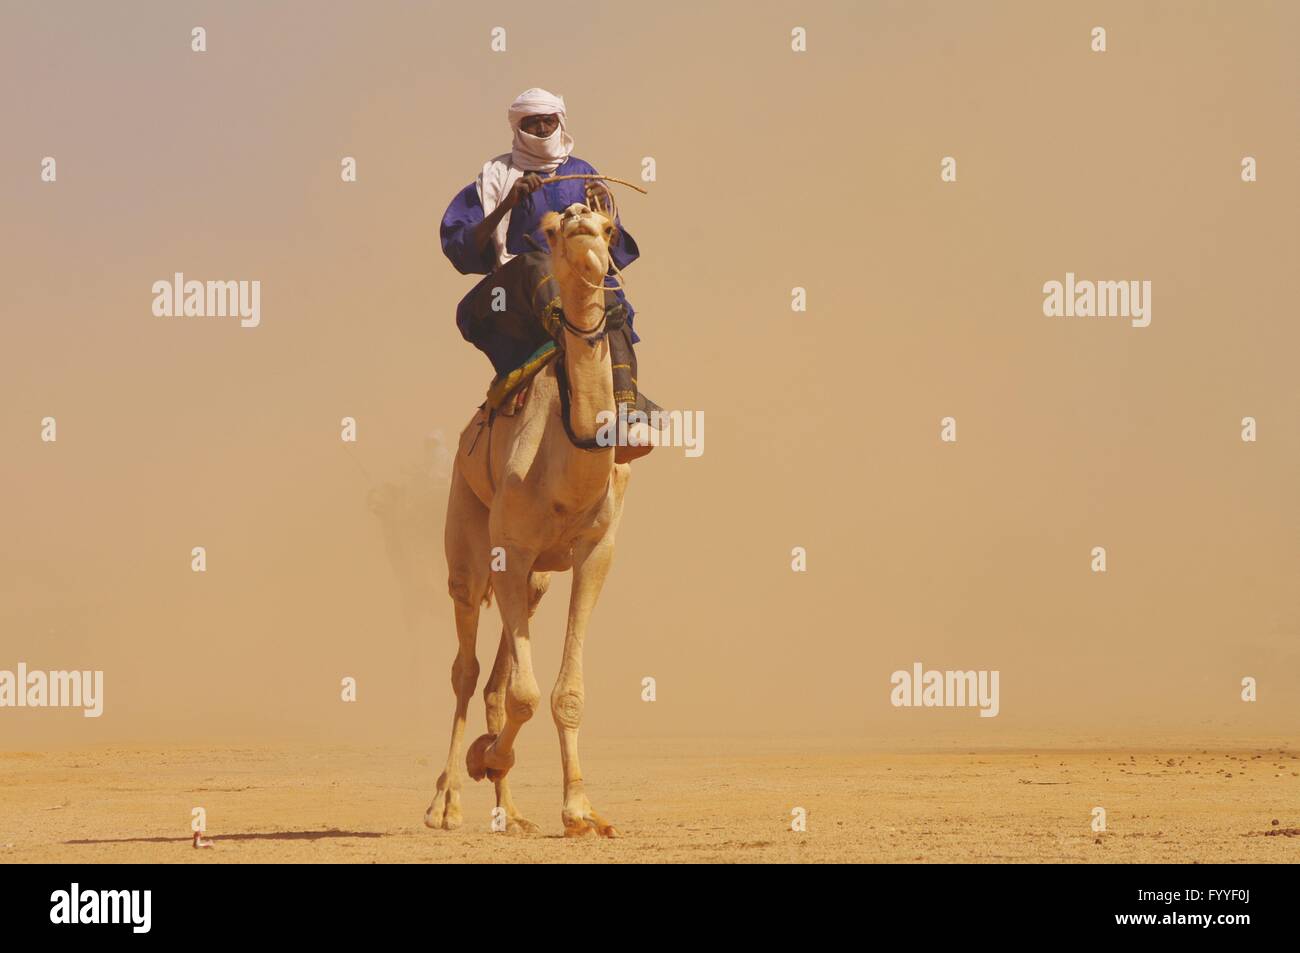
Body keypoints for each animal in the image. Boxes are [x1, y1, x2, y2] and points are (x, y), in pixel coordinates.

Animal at [424, 202, 632, 837]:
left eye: (610, 230)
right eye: (555, 229)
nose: (583, 217)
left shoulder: (596, 550)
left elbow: (560, 694)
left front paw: (581, 812)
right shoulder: (509, 547)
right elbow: (525, 695)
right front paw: (483, 758)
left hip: (536, 575)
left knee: (494, 679)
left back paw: (509, 812)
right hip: (468, 534)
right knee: (465, 668)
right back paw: (446, 803)